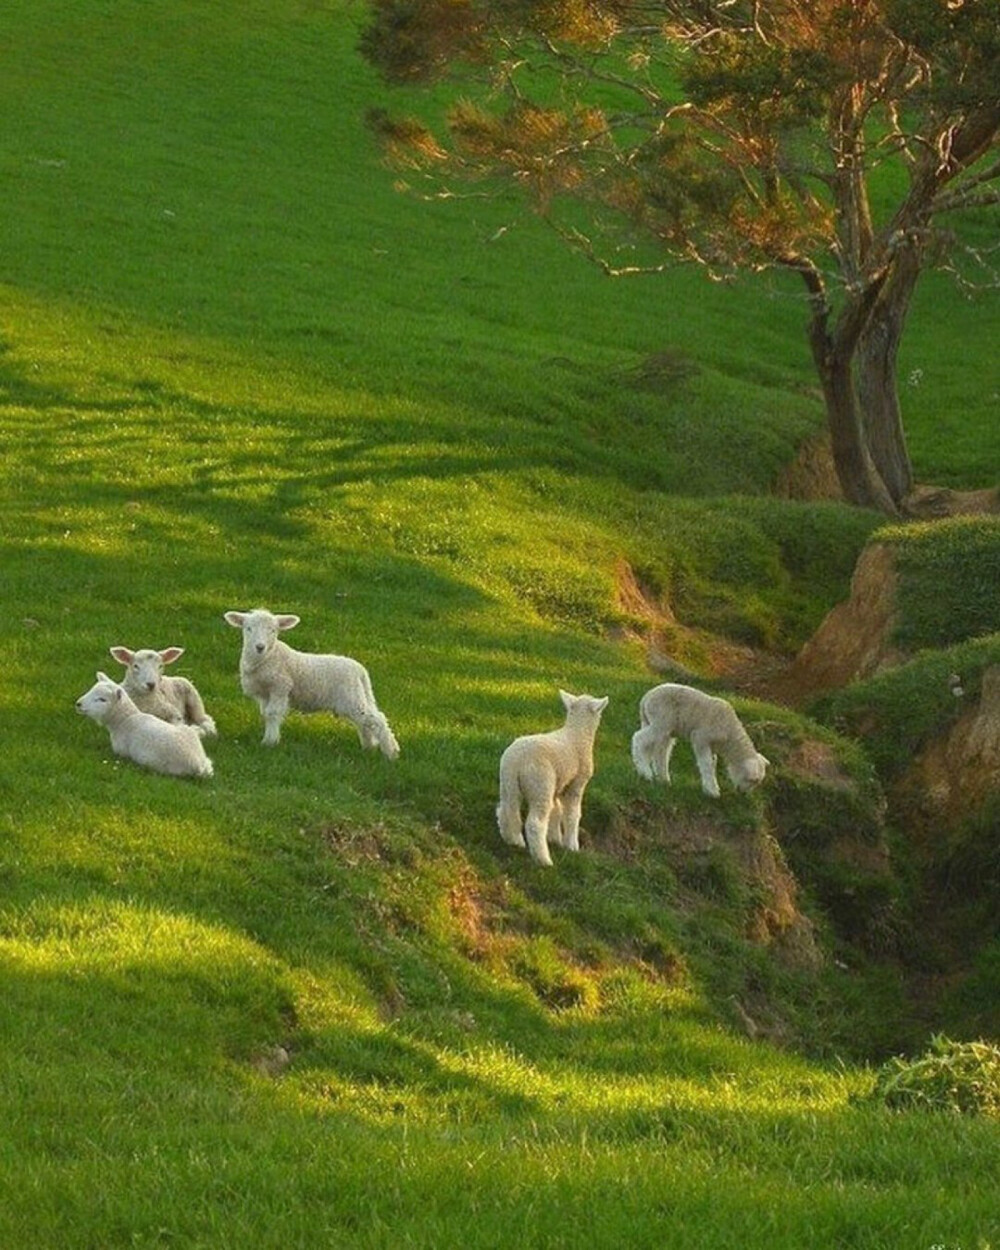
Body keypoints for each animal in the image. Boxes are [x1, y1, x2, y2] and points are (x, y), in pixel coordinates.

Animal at [225, 607, 400, 755]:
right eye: (248, 628)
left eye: (273, 630)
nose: (260, 647)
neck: (268, 658)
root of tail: (360, 670)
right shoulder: (264, 694)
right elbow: (265, 714)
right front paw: (269, 739)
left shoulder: (280, 687)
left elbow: (273, 713)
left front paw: (270, 742)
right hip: (356, 697)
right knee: (365, 721)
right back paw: (368, 747)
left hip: (351, 697)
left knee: (377, 719)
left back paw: (391, 752)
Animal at [495, 685, 605, 870]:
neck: (578, 734)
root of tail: (516, 761)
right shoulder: (577, 784)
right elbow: (572, 814)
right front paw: (572, 845)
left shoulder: (559, 784)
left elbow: (557, 810)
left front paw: (555, 838)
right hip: (541, 783)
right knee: (535, 824)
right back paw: (544, 860)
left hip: (508, 784)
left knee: (506, 809)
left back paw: (513, 840)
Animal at [630, 685, 770, 800]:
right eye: (751, 780)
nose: (744, 794)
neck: (730, 733)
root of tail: (645, 699)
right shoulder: (701, 737)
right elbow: (707, 764)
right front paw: (712, 792)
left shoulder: (712, 745)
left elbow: (712, 763)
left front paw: (712, 787)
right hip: (661, 721)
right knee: (639, 738)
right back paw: (646, 773)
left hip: (661, 726)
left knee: (659, 752)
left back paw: (662, 778)